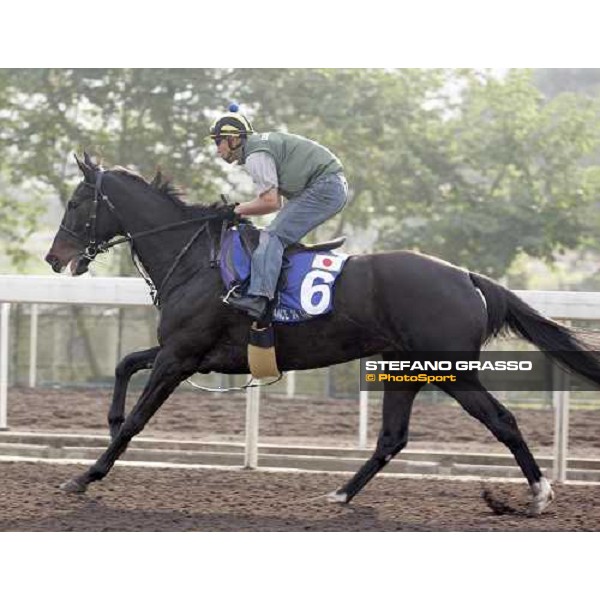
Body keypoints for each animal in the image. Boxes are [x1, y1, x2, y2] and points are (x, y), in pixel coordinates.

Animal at [47, 155, 600, 516]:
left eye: (75, 202)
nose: (54, 257)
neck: (196, 258)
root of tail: (468, 276)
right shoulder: (188, 354)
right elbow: (124, 365)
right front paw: (107, 421)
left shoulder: (181, 356)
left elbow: (138, 420)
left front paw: (84, 475)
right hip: (405, 369)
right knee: (392, 437)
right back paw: (340, 494)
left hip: (452, 371)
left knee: (501, 420)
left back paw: (540, 494)